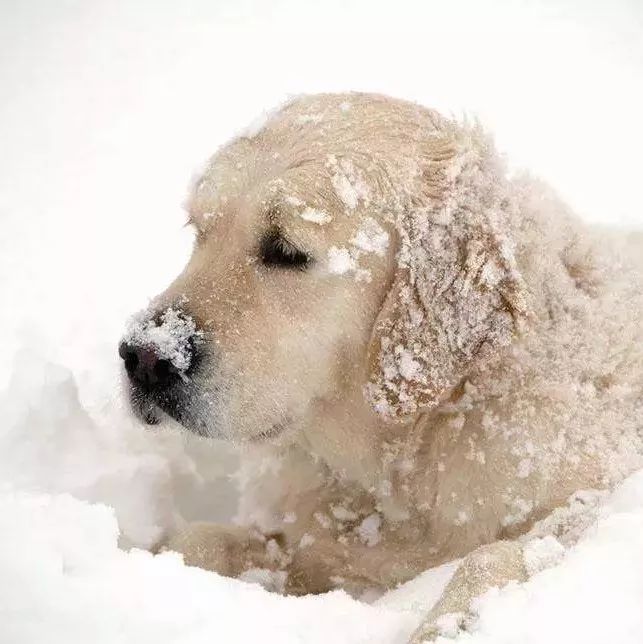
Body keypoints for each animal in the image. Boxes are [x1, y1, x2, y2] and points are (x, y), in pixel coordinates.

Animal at [121, 94, 643, 640]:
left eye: (286, 250)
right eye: (199, 231)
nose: (144, 357)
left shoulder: (602, 501)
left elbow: (495, 556)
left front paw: (448, 625)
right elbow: (203, 540)